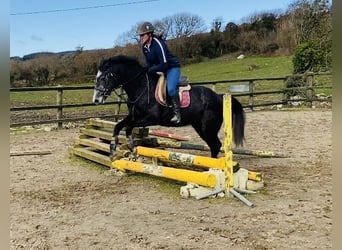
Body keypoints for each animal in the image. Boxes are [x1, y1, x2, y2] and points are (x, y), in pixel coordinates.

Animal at [92, 56, 244, 159]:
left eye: (103, 78)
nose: (96, 100)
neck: (141, 87)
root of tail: (219, 96)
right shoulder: (134, 116)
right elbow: (119, 127)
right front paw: (116, 149)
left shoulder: (150, 118)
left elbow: (128, 127)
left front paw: (130, 149)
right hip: (199, 126)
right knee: (214, 145)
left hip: (208, 127)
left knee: (216, 145)